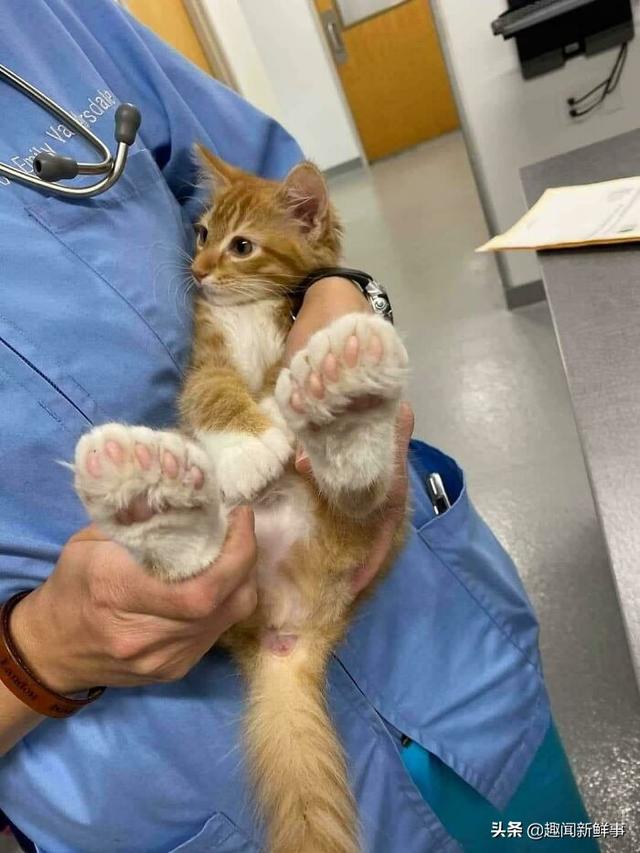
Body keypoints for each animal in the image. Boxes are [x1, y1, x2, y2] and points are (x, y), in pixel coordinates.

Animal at [73, 147, 409, 853]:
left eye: (242, 246)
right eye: (201, 234)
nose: (198, 271)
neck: (249, 308)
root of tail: (294, 629)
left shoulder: (288, 331)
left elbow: (281, 376)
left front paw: (285, 410)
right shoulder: (208, 358)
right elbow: (217, 393)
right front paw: (250, 447)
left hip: (375, 526)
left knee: (362, 494)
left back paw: (348, 400)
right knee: (197, 550)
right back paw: (151, 501)